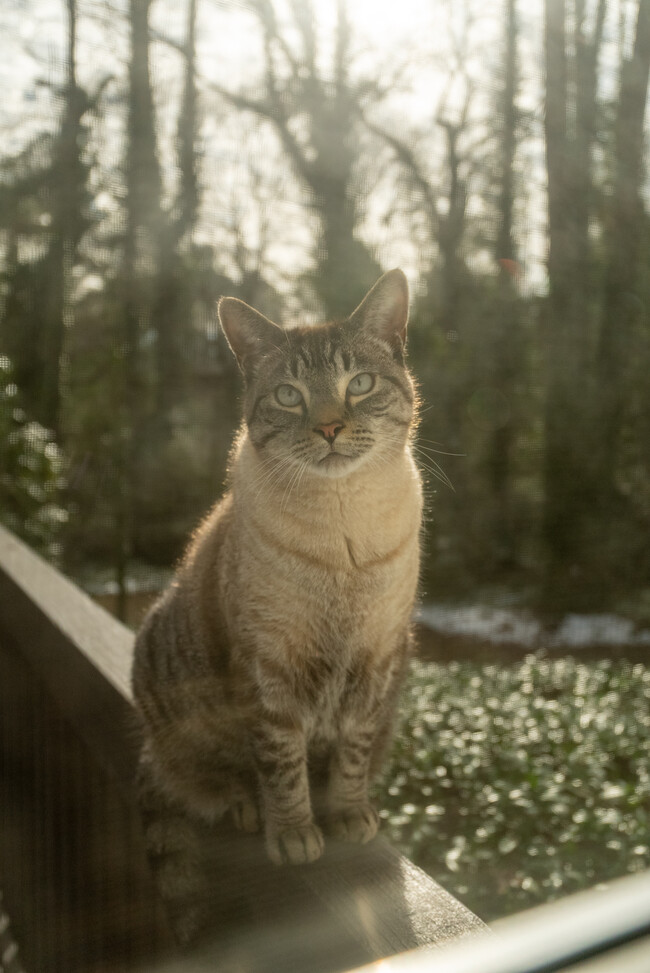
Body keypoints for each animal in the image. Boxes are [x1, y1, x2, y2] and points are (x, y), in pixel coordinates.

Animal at [131, 264, 422, 864]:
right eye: (289, 396)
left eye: (360, 384)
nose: (329, 428)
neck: (343, 532)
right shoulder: (269, 669)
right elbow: (282, 762)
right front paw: (292, 831)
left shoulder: (376, 660)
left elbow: (353, 754)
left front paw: (347, 814)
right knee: (203, 779)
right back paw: (245, 808)